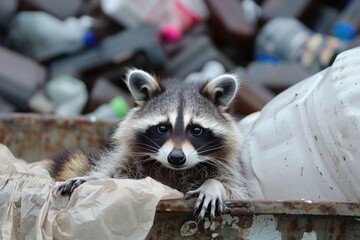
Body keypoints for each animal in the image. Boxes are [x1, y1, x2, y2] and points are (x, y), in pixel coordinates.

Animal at [50, 69, 248, 219]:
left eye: (196, 130)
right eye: (162, 128)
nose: (176, 157)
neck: (174, 170)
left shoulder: (229, 169)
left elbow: (233, 189)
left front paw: (213, 185)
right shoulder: (131, 162)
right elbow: (116, 176)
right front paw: (94, 177)